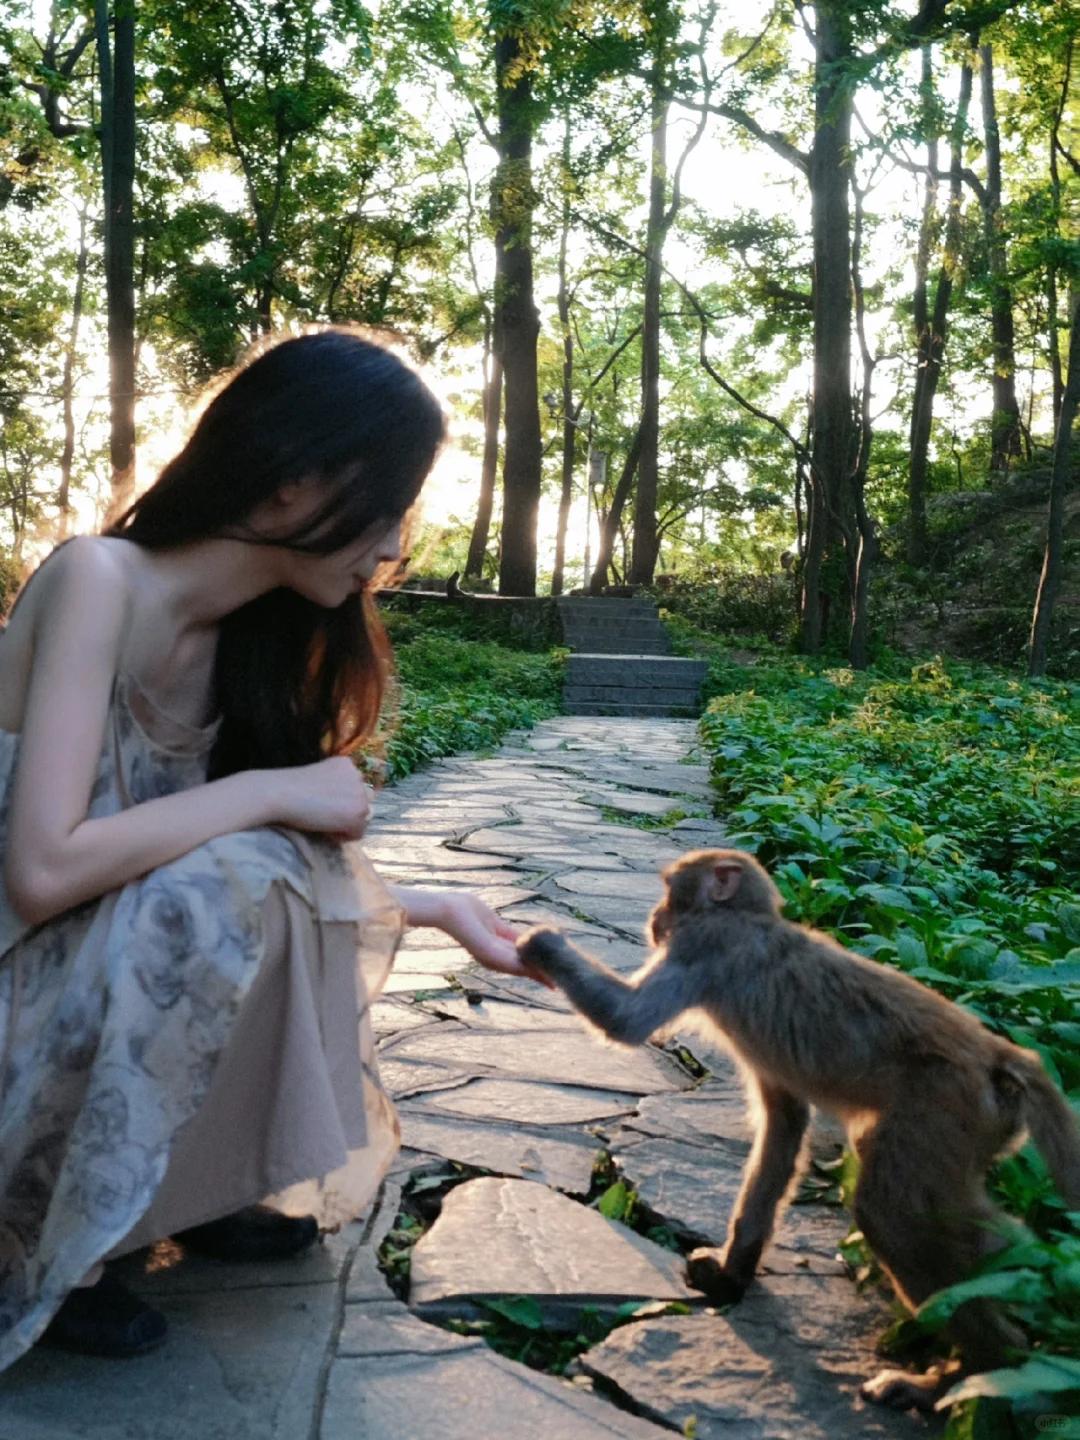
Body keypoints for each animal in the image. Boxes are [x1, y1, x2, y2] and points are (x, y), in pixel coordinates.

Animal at [515, 846, 1080, 1411]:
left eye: (670, 891)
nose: (654, 919)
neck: (751, 915)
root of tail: (997, 1055)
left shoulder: (706, 946)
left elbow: (626, 1018)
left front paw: (539, 943)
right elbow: (785, 1126)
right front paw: (733, 1270)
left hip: (939, 1106)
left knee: (891, 1212)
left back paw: (975, 1366)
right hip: (963, 1128)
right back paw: (1016, 1280)